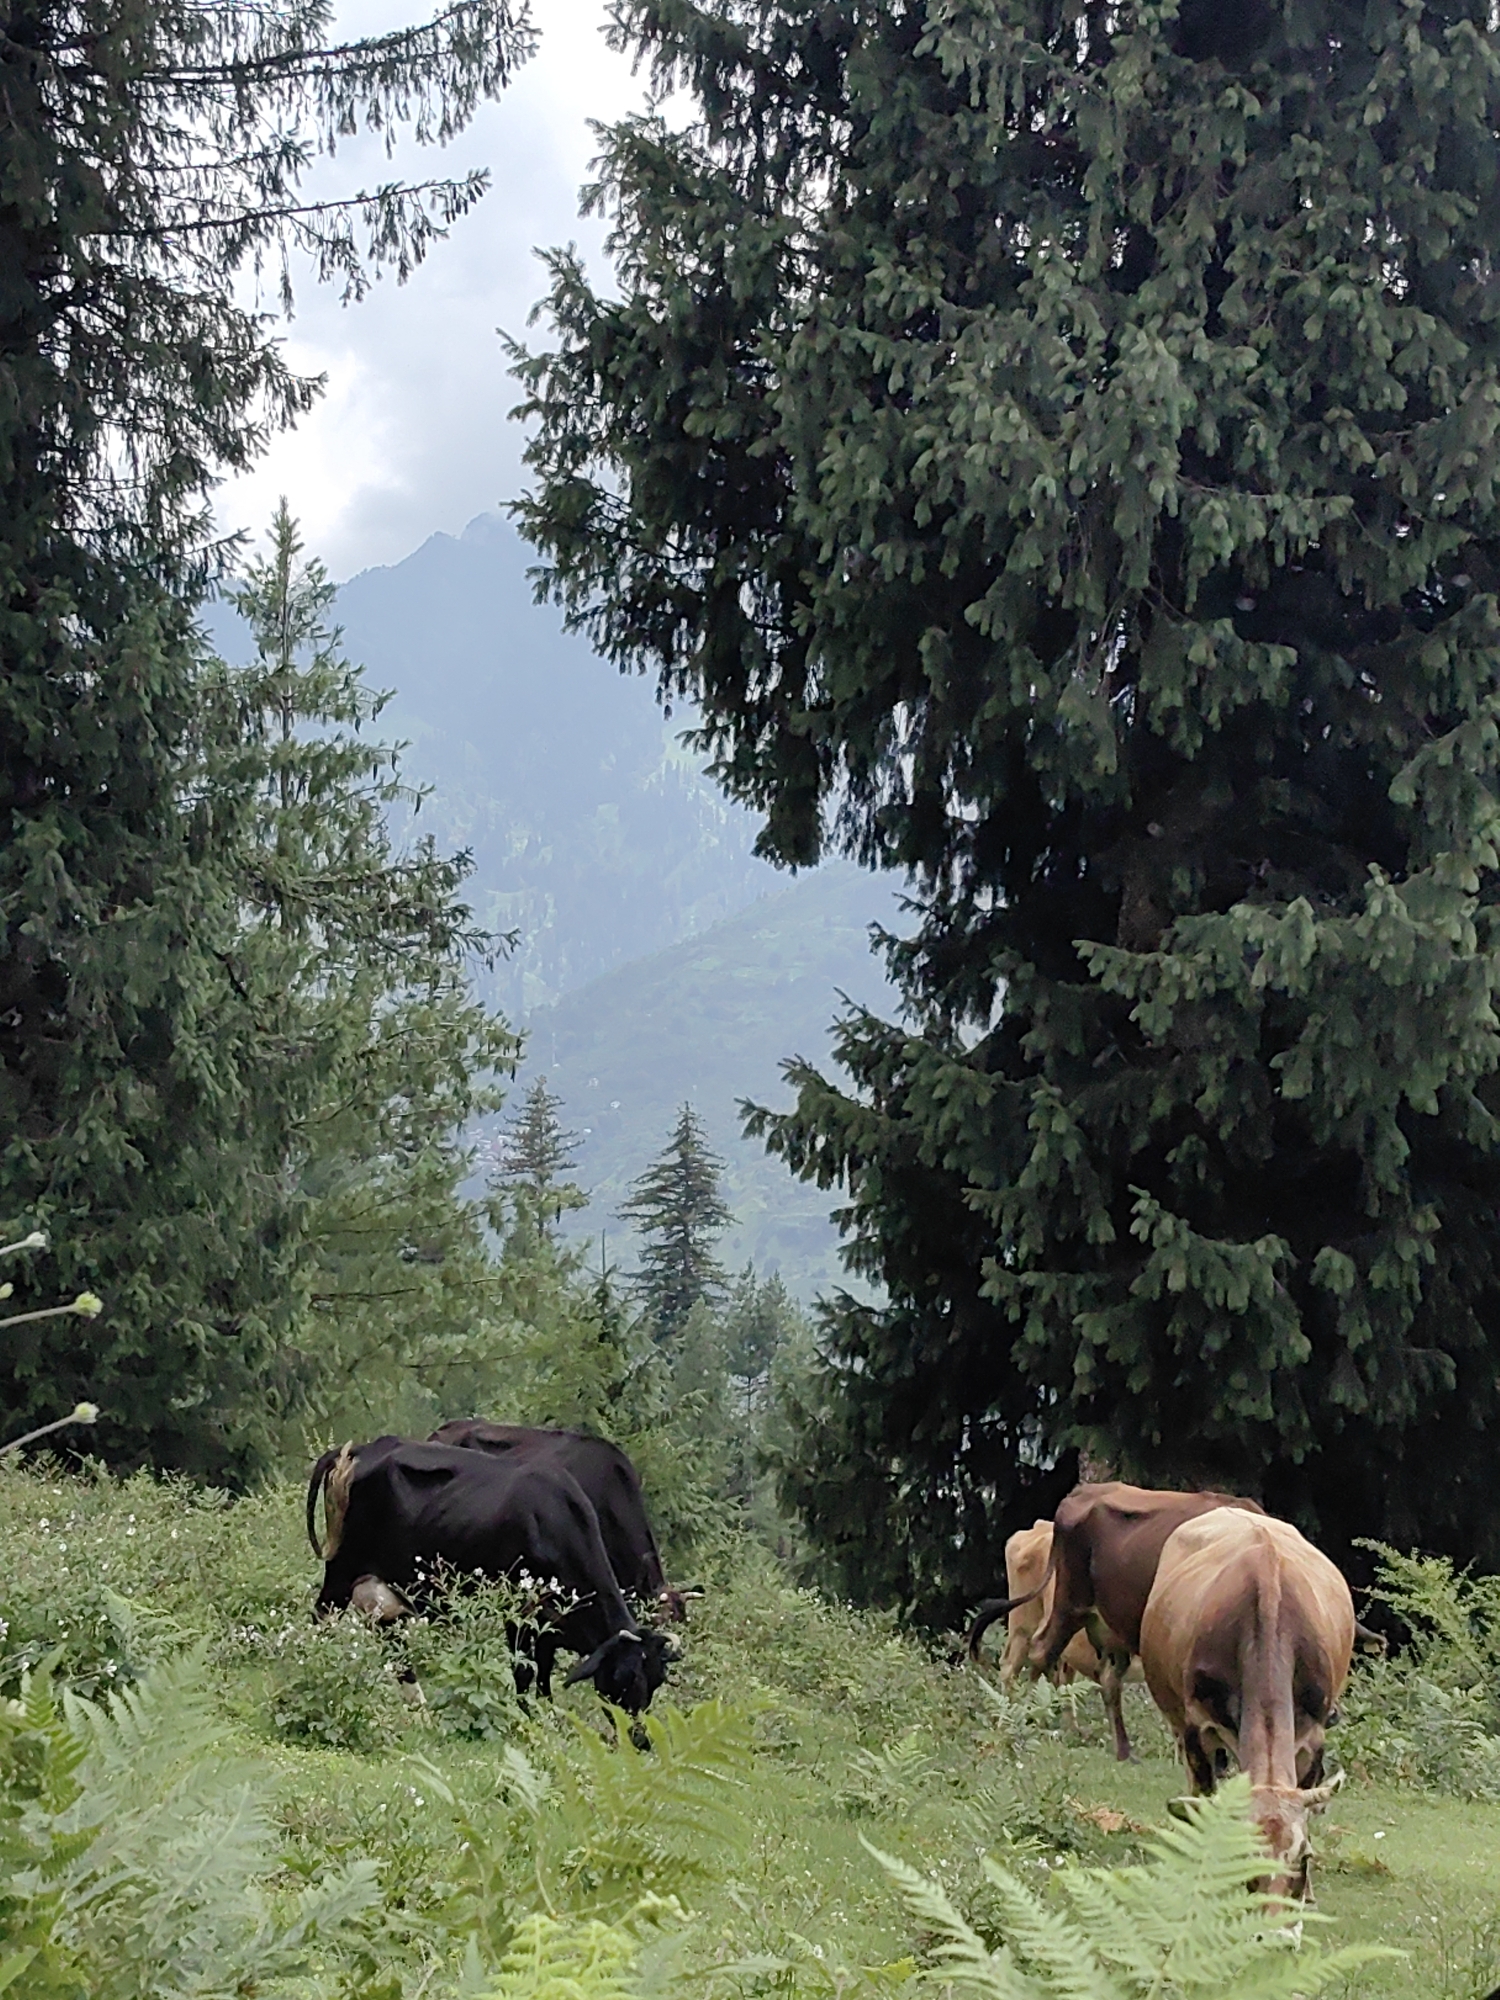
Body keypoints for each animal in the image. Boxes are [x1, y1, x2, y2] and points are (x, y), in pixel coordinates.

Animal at [305, 1437, 674, 1715]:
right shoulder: (518, 1612)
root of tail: (358, 1449)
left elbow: (542, 1675)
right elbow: (523, 1671)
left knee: (392, 1640)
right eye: (624, 1677)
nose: (638, 1738)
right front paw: (525, 1721)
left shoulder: (550, 1628)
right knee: (319, 1620)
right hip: (341, 1571)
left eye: (656, 1679)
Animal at [967, 1481, 1265, 1761]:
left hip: (1107, 1625)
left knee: (1103, 1677)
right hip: (1067, 1604)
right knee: (1036, 1655)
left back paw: (1121, 1750)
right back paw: (1031, 1722)